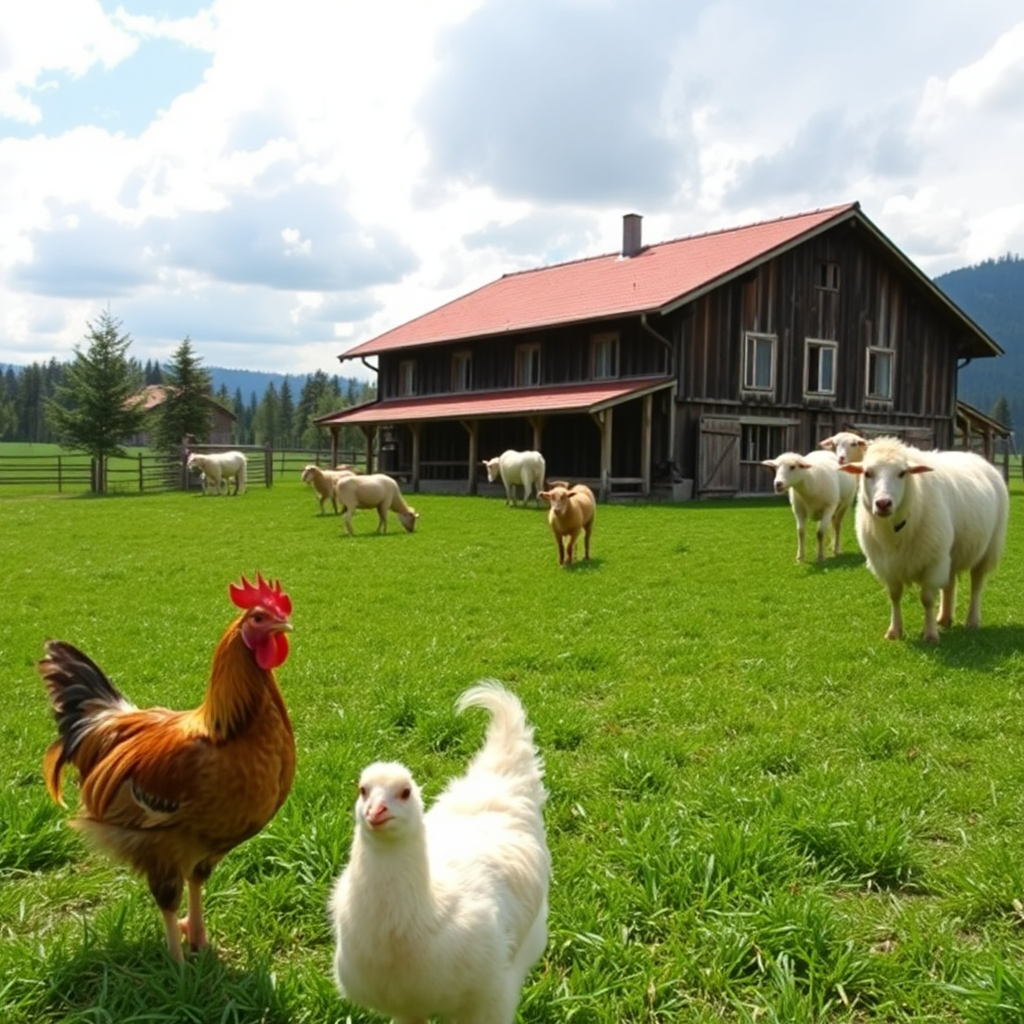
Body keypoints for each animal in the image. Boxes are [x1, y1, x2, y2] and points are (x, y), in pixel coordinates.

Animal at [841, 436, 1009, 643]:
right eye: (867, 473)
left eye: (902, 473)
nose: (883, 504)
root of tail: (976, 457)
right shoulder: (887, 566)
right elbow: (894, 596)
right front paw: (894, 631)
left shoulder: (933, 563)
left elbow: (927, 599)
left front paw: (930, 635)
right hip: (949, 553)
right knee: (950, 583)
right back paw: (944, 618)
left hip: (987, 549)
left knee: (976, 585)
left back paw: (972, 621)